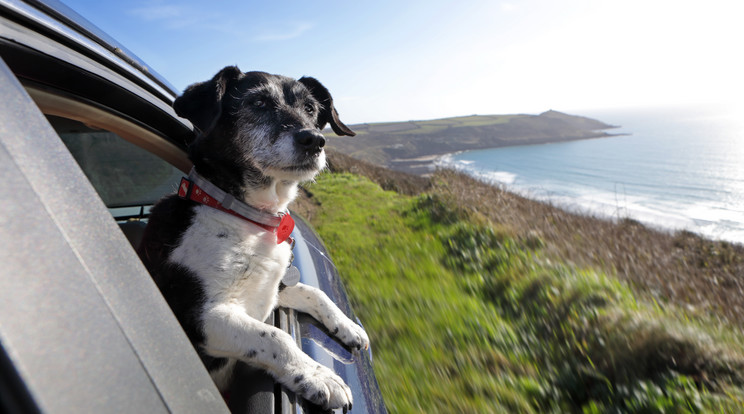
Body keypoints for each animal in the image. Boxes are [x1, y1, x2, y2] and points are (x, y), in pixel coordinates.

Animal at [137, 66, 370, 410]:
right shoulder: (200, 317)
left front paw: (349, 326)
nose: (314, 140)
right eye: (258, 103)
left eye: (310, 109)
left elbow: (314, 293)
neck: (244, 217)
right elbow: (277, 338)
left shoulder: (271, 289)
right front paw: (319, 377)